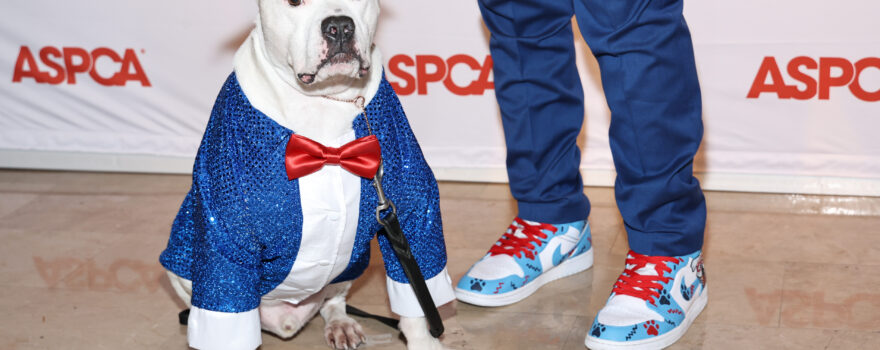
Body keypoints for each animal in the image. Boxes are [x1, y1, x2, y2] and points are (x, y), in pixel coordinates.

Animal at [159, 0, 458, 348]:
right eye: (293, 2)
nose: (340, 26)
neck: (324, 100)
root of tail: (285, 319)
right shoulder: (224, 231)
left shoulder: (410, 212)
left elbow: (417, 298)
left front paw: (423, 341)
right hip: (182, 270)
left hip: (351, 264)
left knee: (333, 300)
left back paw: (340, 324)